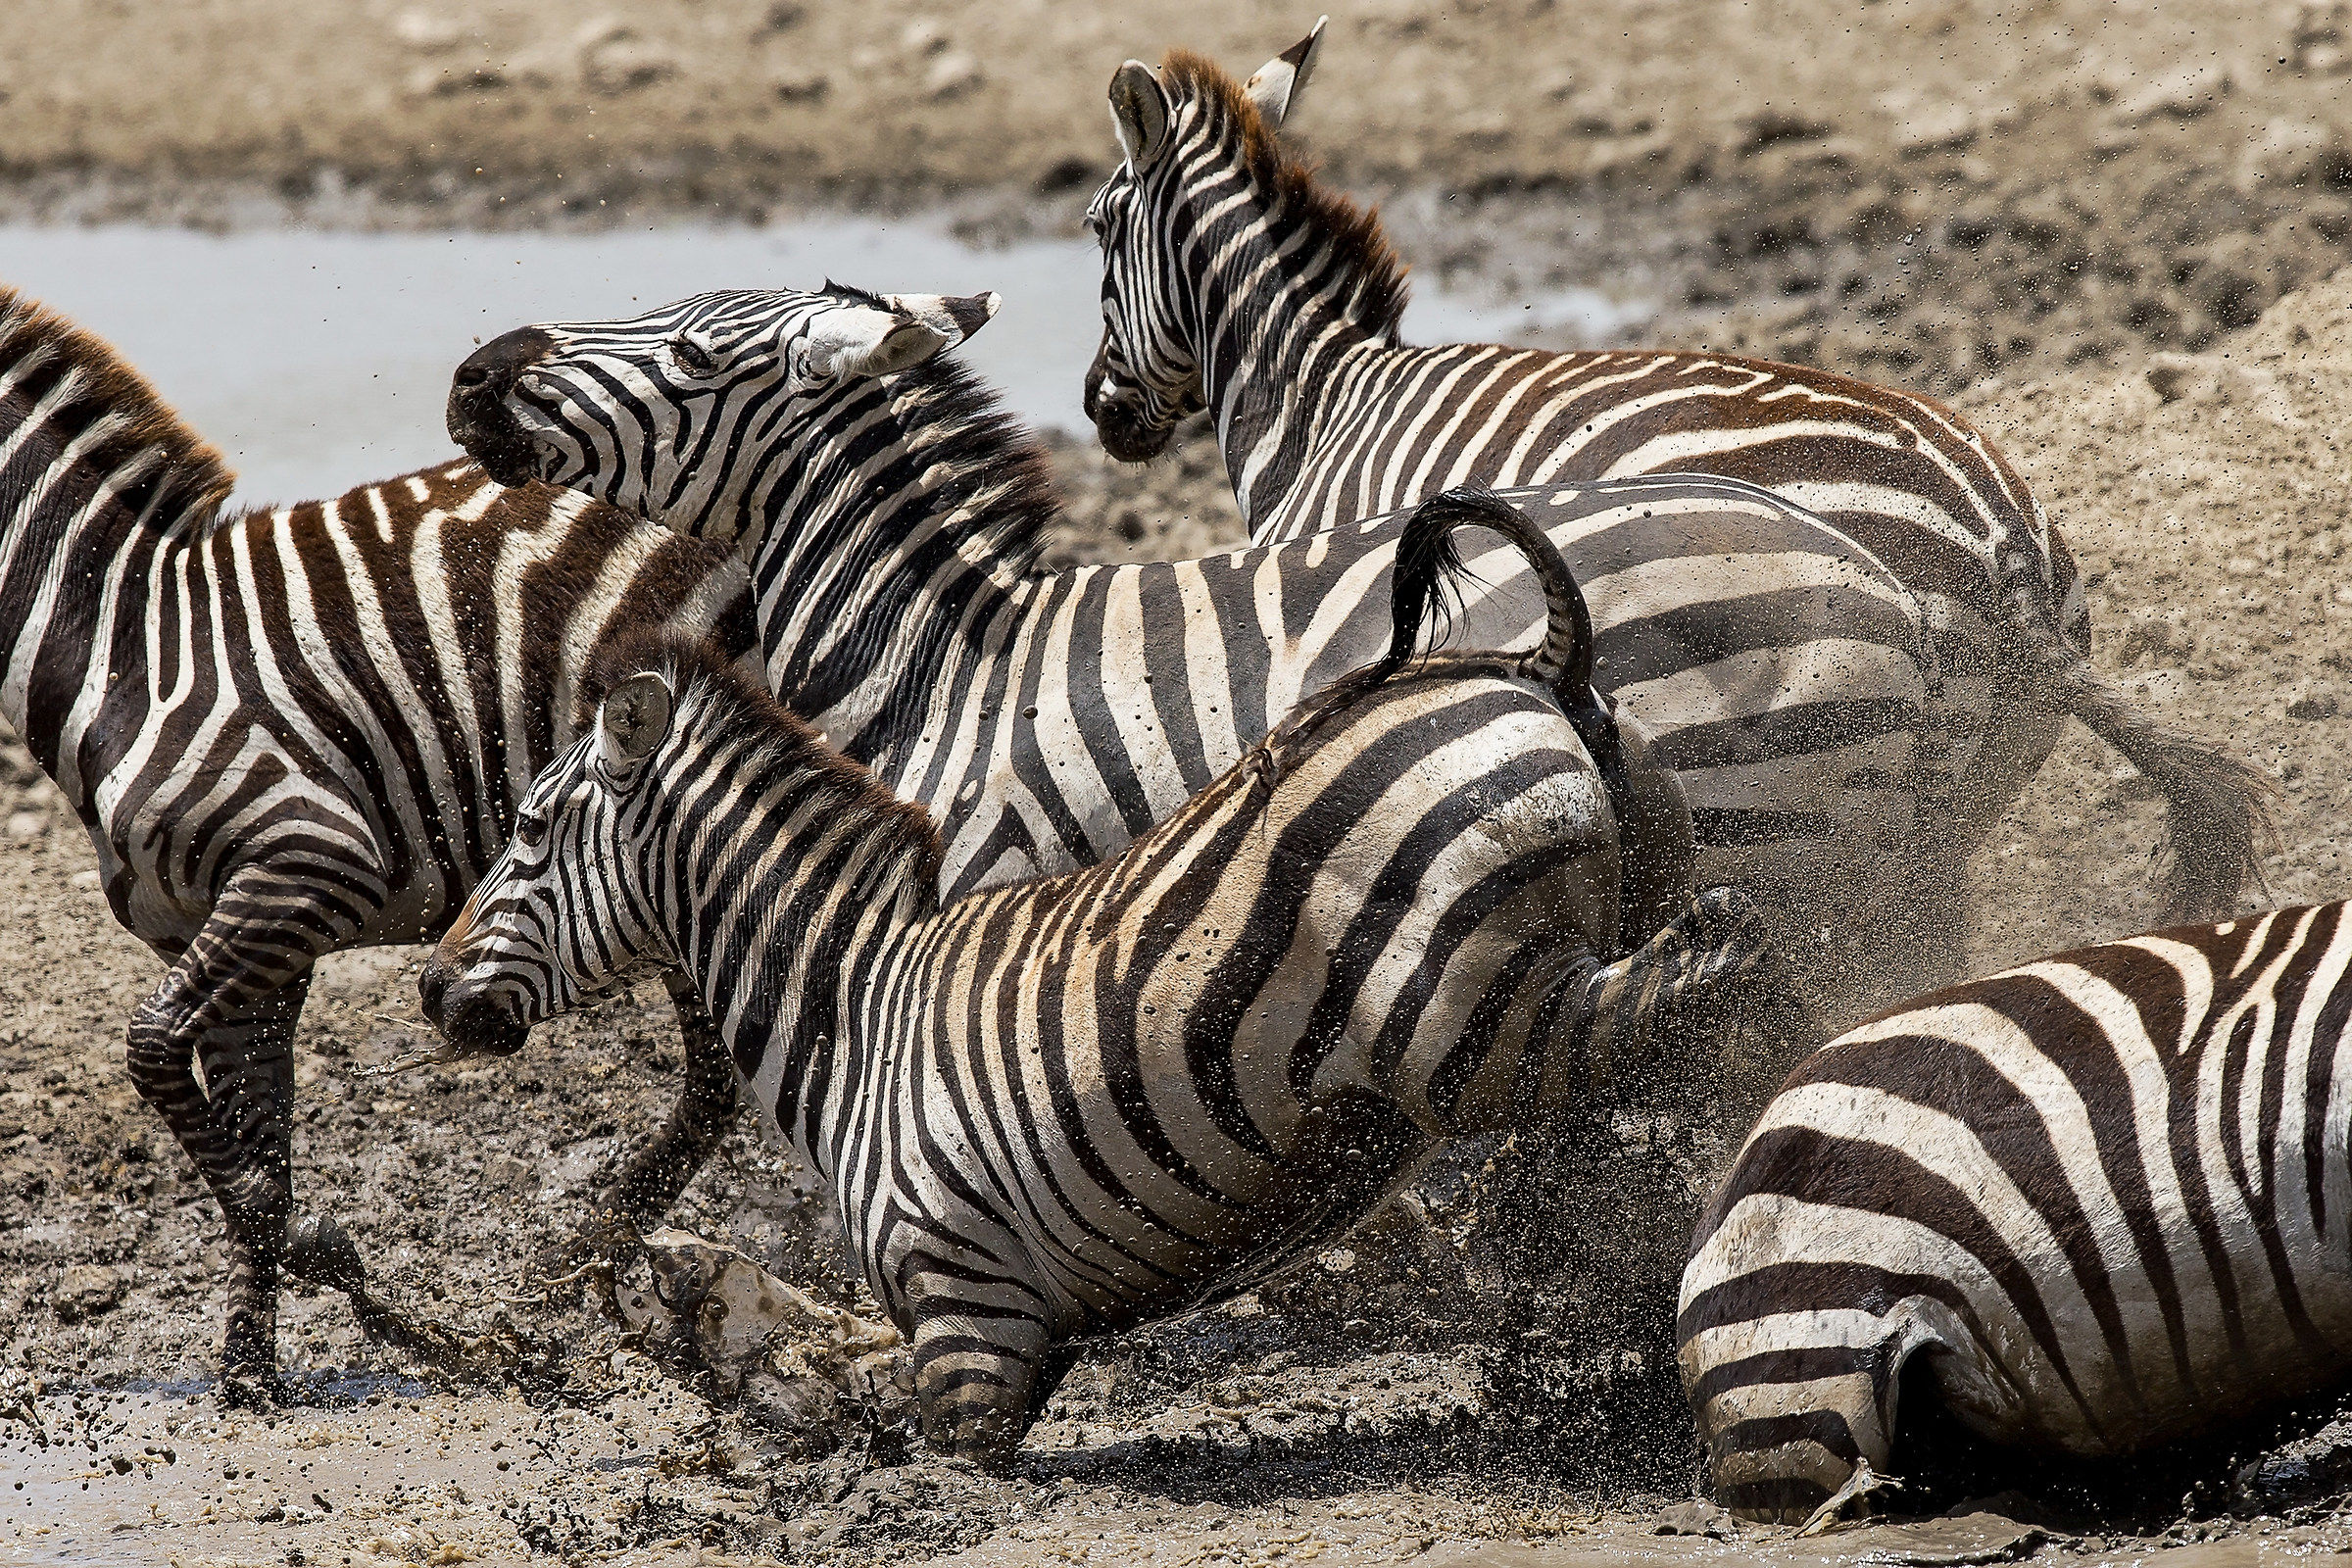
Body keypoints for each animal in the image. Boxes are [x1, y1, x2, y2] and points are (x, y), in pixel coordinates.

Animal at [0, 283, 753, 1394]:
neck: (120, 649)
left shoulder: (306, 864)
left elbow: (150, 1048)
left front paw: (352, 1285)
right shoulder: (250, 945)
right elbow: (256, 1138)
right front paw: (251, 1368)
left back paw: (574, 1273)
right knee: (716, 1076)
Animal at [417, 488, 1782, 1466]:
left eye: (526, 831)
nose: (431, 992)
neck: (852, 1006)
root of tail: (1531, 663)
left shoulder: (968, 1318)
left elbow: (896, 1419)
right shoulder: (1010, 1331)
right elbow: (835, 1363)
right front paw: (710, 1331)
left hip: (1481, 1018)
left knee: (1727, 971)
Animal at [446, 282, 1942, 1014]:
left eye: (694, 358)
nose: (473, 376)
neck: (944, 660)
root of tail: (1865, 570)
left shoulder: (989, 888)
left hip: (1769, 840)